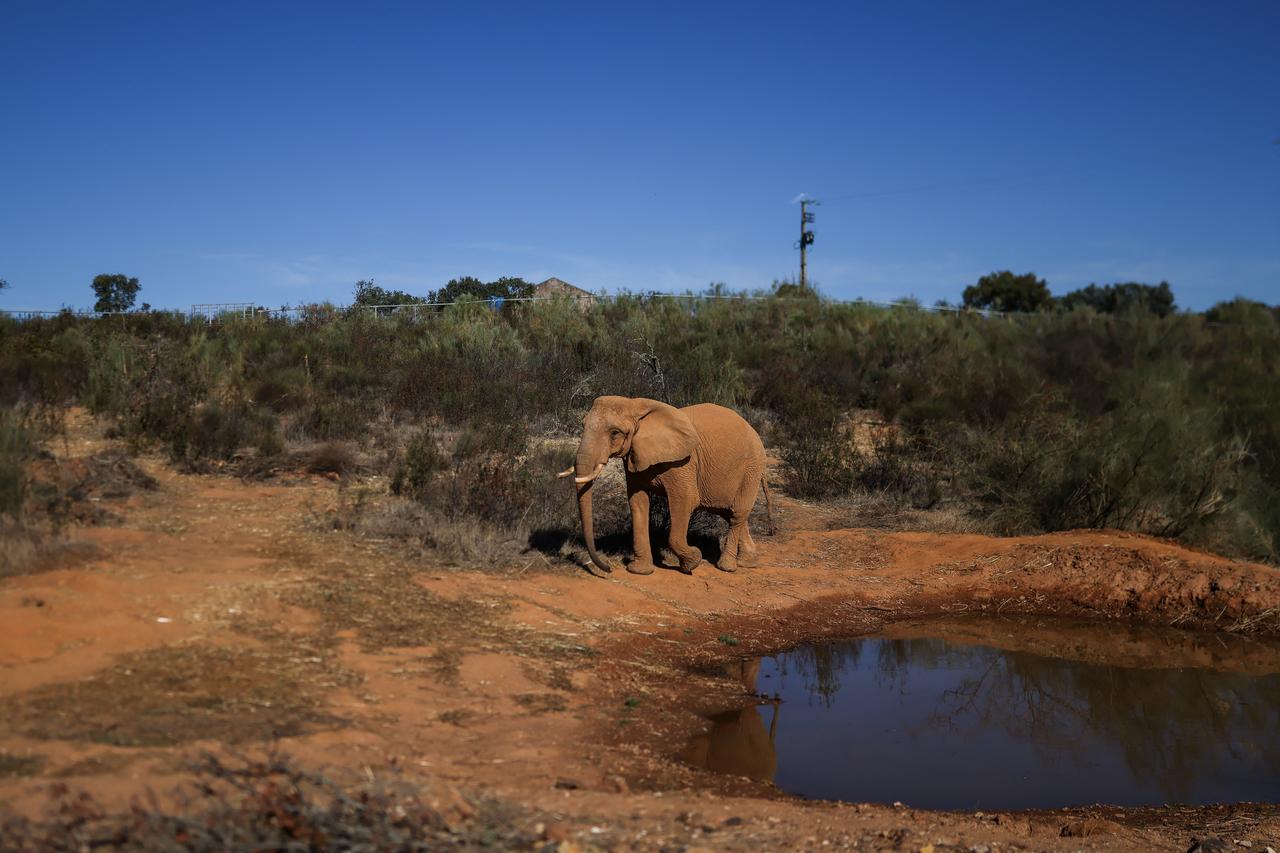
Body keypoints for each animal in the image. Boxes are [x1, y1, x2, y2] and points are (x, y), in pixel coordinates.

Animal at [556, 396, 772, 576]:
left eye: (615, 433)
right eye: (582, 425)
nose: (607, 568)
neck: (636, 405)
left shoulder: (682, 463)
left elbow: (686, 501)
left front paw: (692, 561)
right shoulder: (635, 456)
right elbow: (638, 501)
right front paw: (639, 571)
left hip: (751, 469)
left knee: (736, 514)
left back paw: (726, 567)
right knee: (731, 514)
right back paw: (747, 562)